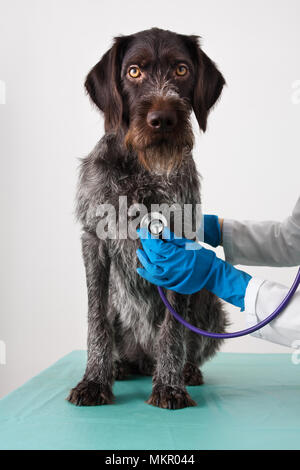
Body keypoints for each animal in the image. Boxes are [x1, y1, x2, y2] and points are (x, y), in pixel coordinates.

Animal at [67, 27, 227, 410]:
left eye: (182, 70)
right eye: (134, 71)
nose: (163, 120)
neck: (141, 167)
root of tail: (142, 357)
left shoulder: (179, 244)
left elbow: (173, 328)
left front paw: (169, 385)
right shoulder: (93, 240)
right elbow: (97, 319)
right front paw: (94, 380)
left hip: (209, 298)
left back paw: (185, 370)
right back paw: (118, 365)